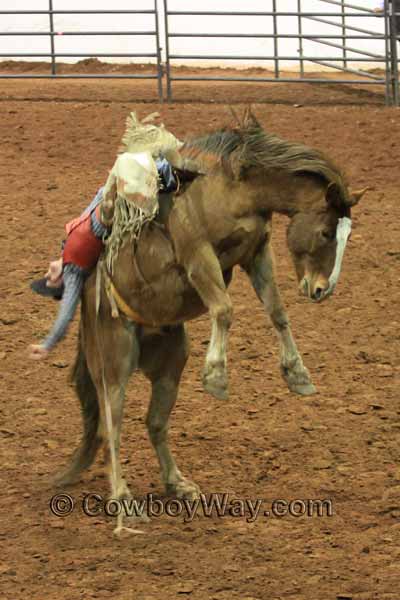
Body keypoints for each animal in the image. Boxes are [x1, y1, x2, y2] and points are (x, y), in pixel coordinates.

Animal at [55, 110, 366, 532]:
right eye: (325, 231)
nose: (323, 289)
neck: (232, 190)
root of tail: (87, 300)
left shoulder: (257, 252)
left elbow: (277, 311)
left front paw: (298, 374)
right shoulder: (197, 256)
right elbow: (224, 308)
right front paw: (217, 376)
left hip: (171, 363)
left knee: (155, 422)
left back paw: (178, 483)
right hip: (113, 363)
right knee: (111, 426)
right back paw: (124, 502)